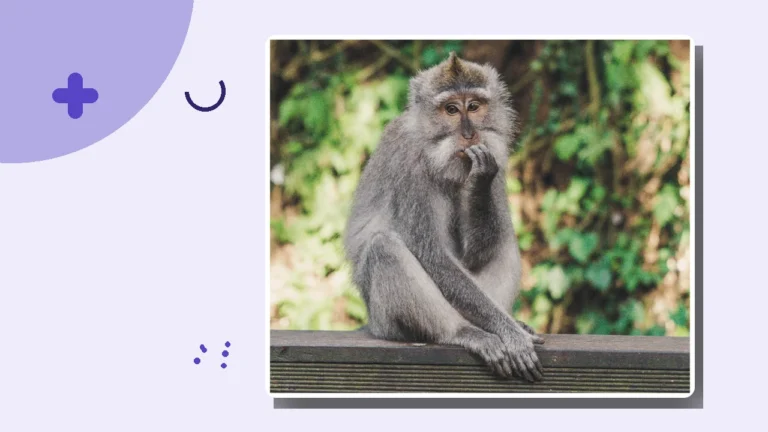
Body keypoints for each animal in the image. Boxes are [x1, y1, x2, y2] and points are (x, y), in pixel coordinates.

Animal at [343, 52, 544, 382]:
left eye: (474, 106)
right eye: (451, 109)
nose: (469, 134)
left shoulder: (498, 160)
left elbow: (474, 254)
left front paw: (479, 179)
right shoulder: (409, 164)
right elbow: (433, 255)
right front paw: (510, 334)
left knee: (504, 239)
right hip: (386, 323)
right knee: (384, 247)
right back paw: (464, 331)